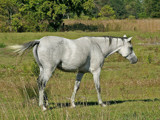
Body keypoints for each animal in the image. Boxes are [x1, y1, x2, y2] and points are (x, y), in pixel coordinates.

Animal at [9, 34, 138, 110]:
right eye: (131, 48)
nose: (135, 60)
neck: (97, 46)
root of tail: (39, 41)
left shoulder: (80, 72)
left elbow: (76, 87)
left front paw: (73, 104)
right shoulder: (96, 71)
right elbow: (98, 87)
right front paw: (102, 103)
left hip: (42, 69)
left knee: (39, 82)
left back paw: (46, 103)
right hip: (49, 70)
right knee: (42, 83)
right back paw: (43, 106)